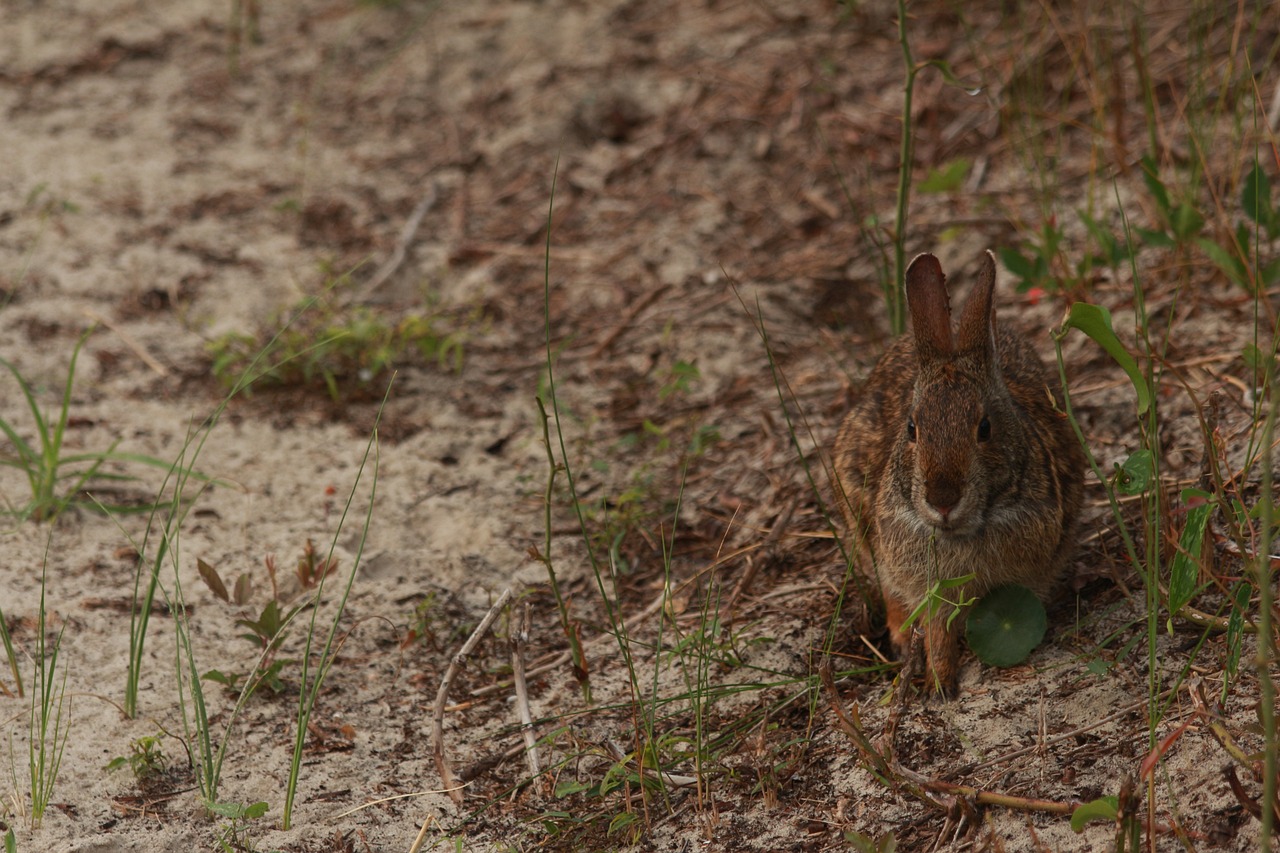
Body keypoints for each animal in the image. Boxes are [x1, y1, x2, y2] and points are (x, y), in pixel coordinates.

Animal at [834, 249, 1085, 696]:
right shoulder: (925, 582)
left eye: (984, 428)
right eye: (912, 428)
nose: (943, 500)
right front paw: (940, 682)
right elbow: (935, 626)